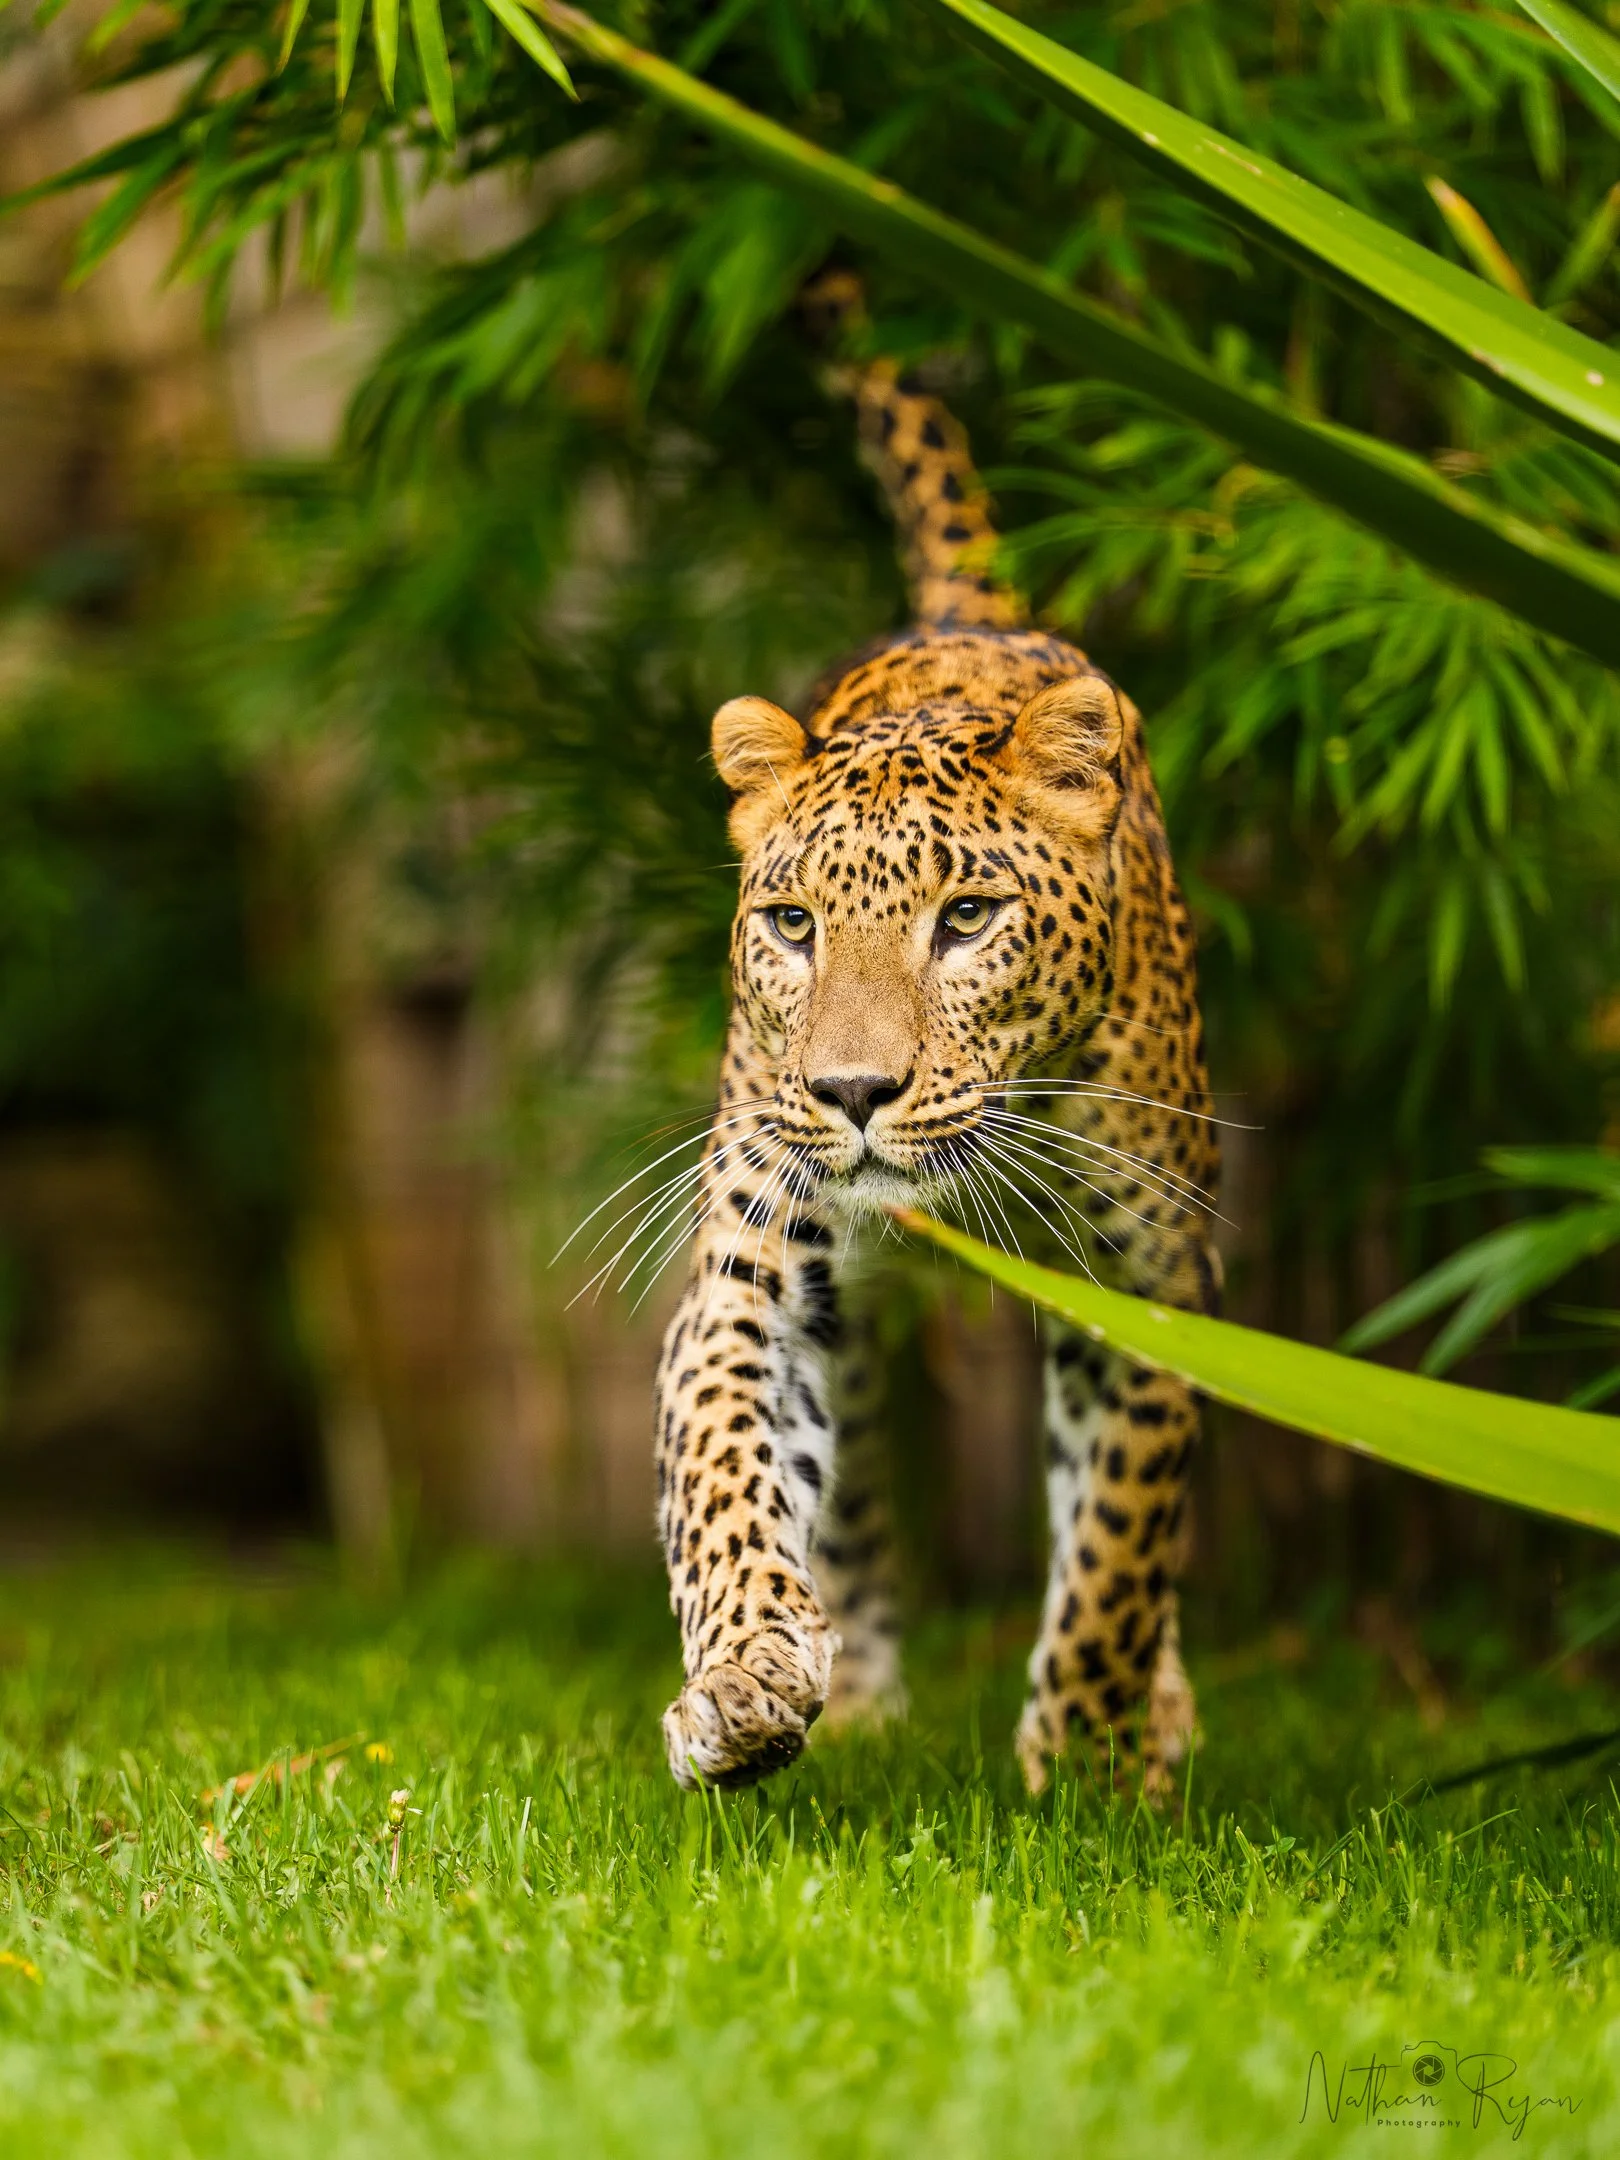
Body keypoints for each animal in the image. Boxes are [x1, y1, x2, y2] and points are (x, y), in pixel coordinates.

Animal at [652, 274, 1221, 1799]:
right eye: (791, 925)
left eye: (966, 918)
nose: (853, 1091)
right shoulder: (752, 1267)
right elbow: (729, 1471)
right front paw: (746, 1680)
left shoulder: (1151, 1282)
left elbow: (1122, 1537)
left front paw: (1087, 1761)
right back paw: (856, 1693)